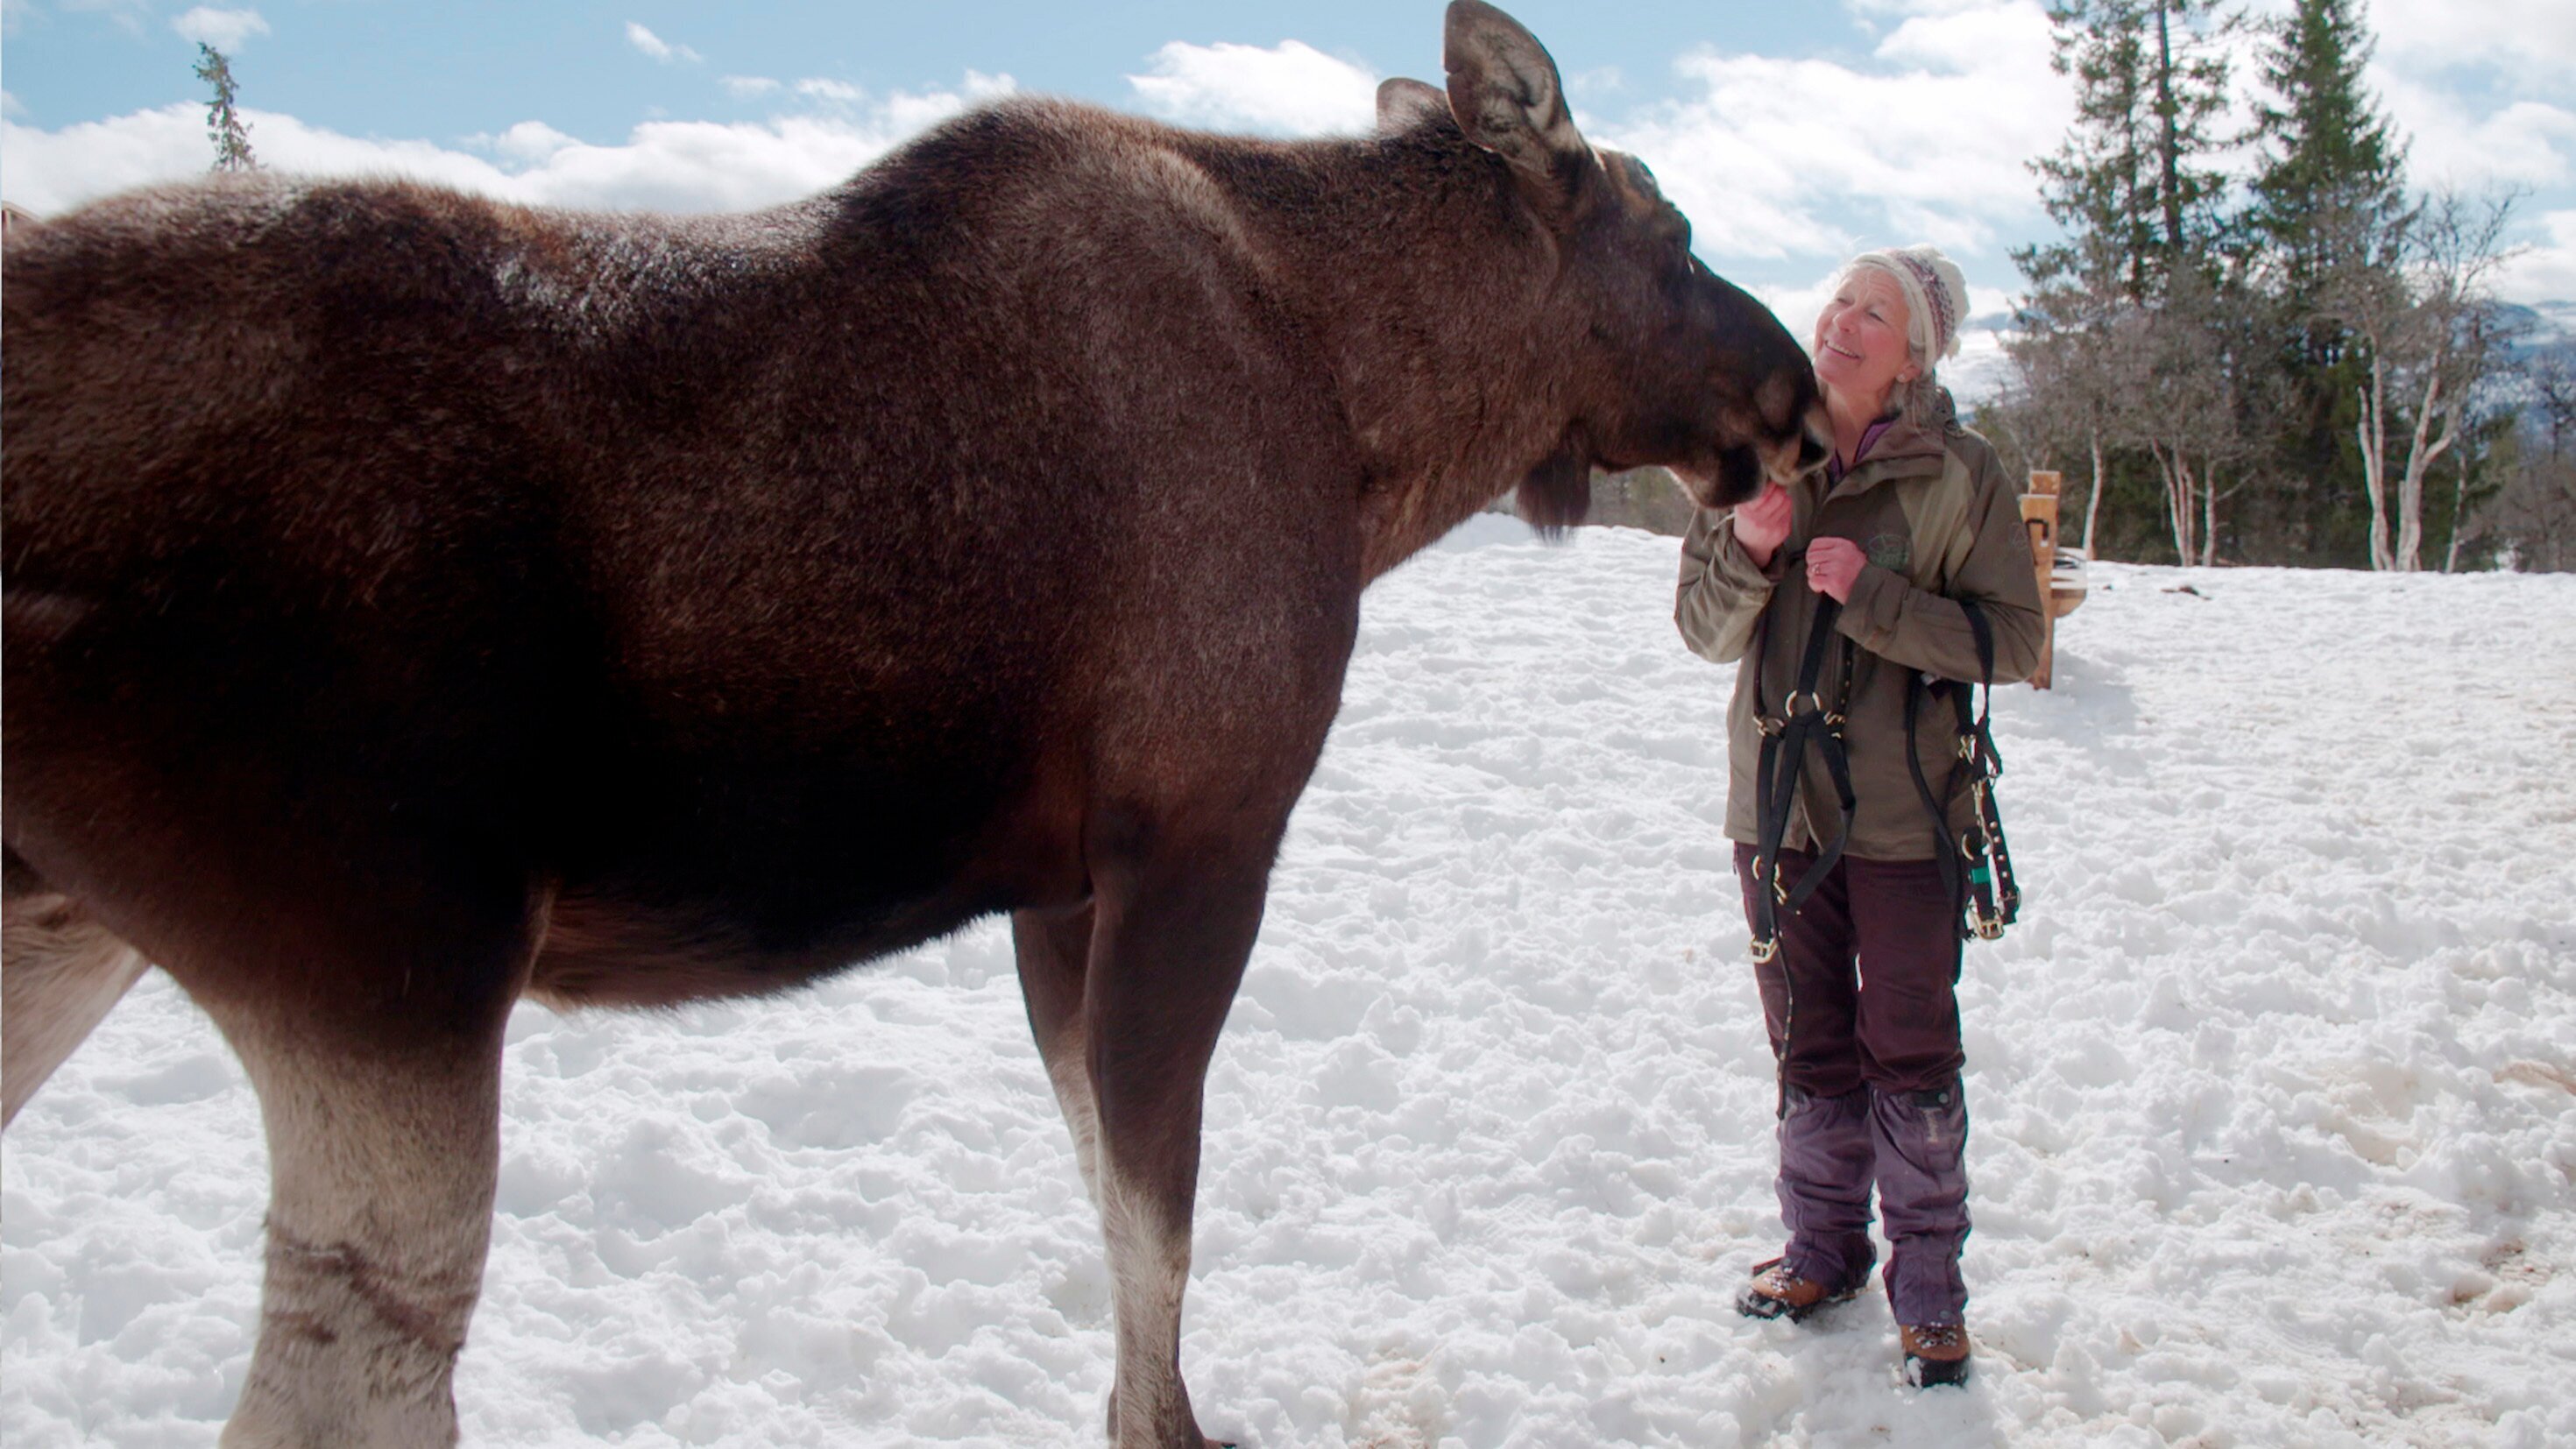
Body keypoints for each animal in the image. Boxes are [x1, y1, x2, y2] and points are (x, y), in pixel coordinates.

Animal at [0, 5, 1834, 1441]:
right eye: (1674, 232)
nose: (1805, 394)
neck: (1376, 429)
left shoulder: (1052, 885)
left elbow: (1108, 1196)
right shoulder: (1198, 835)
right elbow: (1160, 1218)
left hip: (78, 928)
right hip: (389, 958)